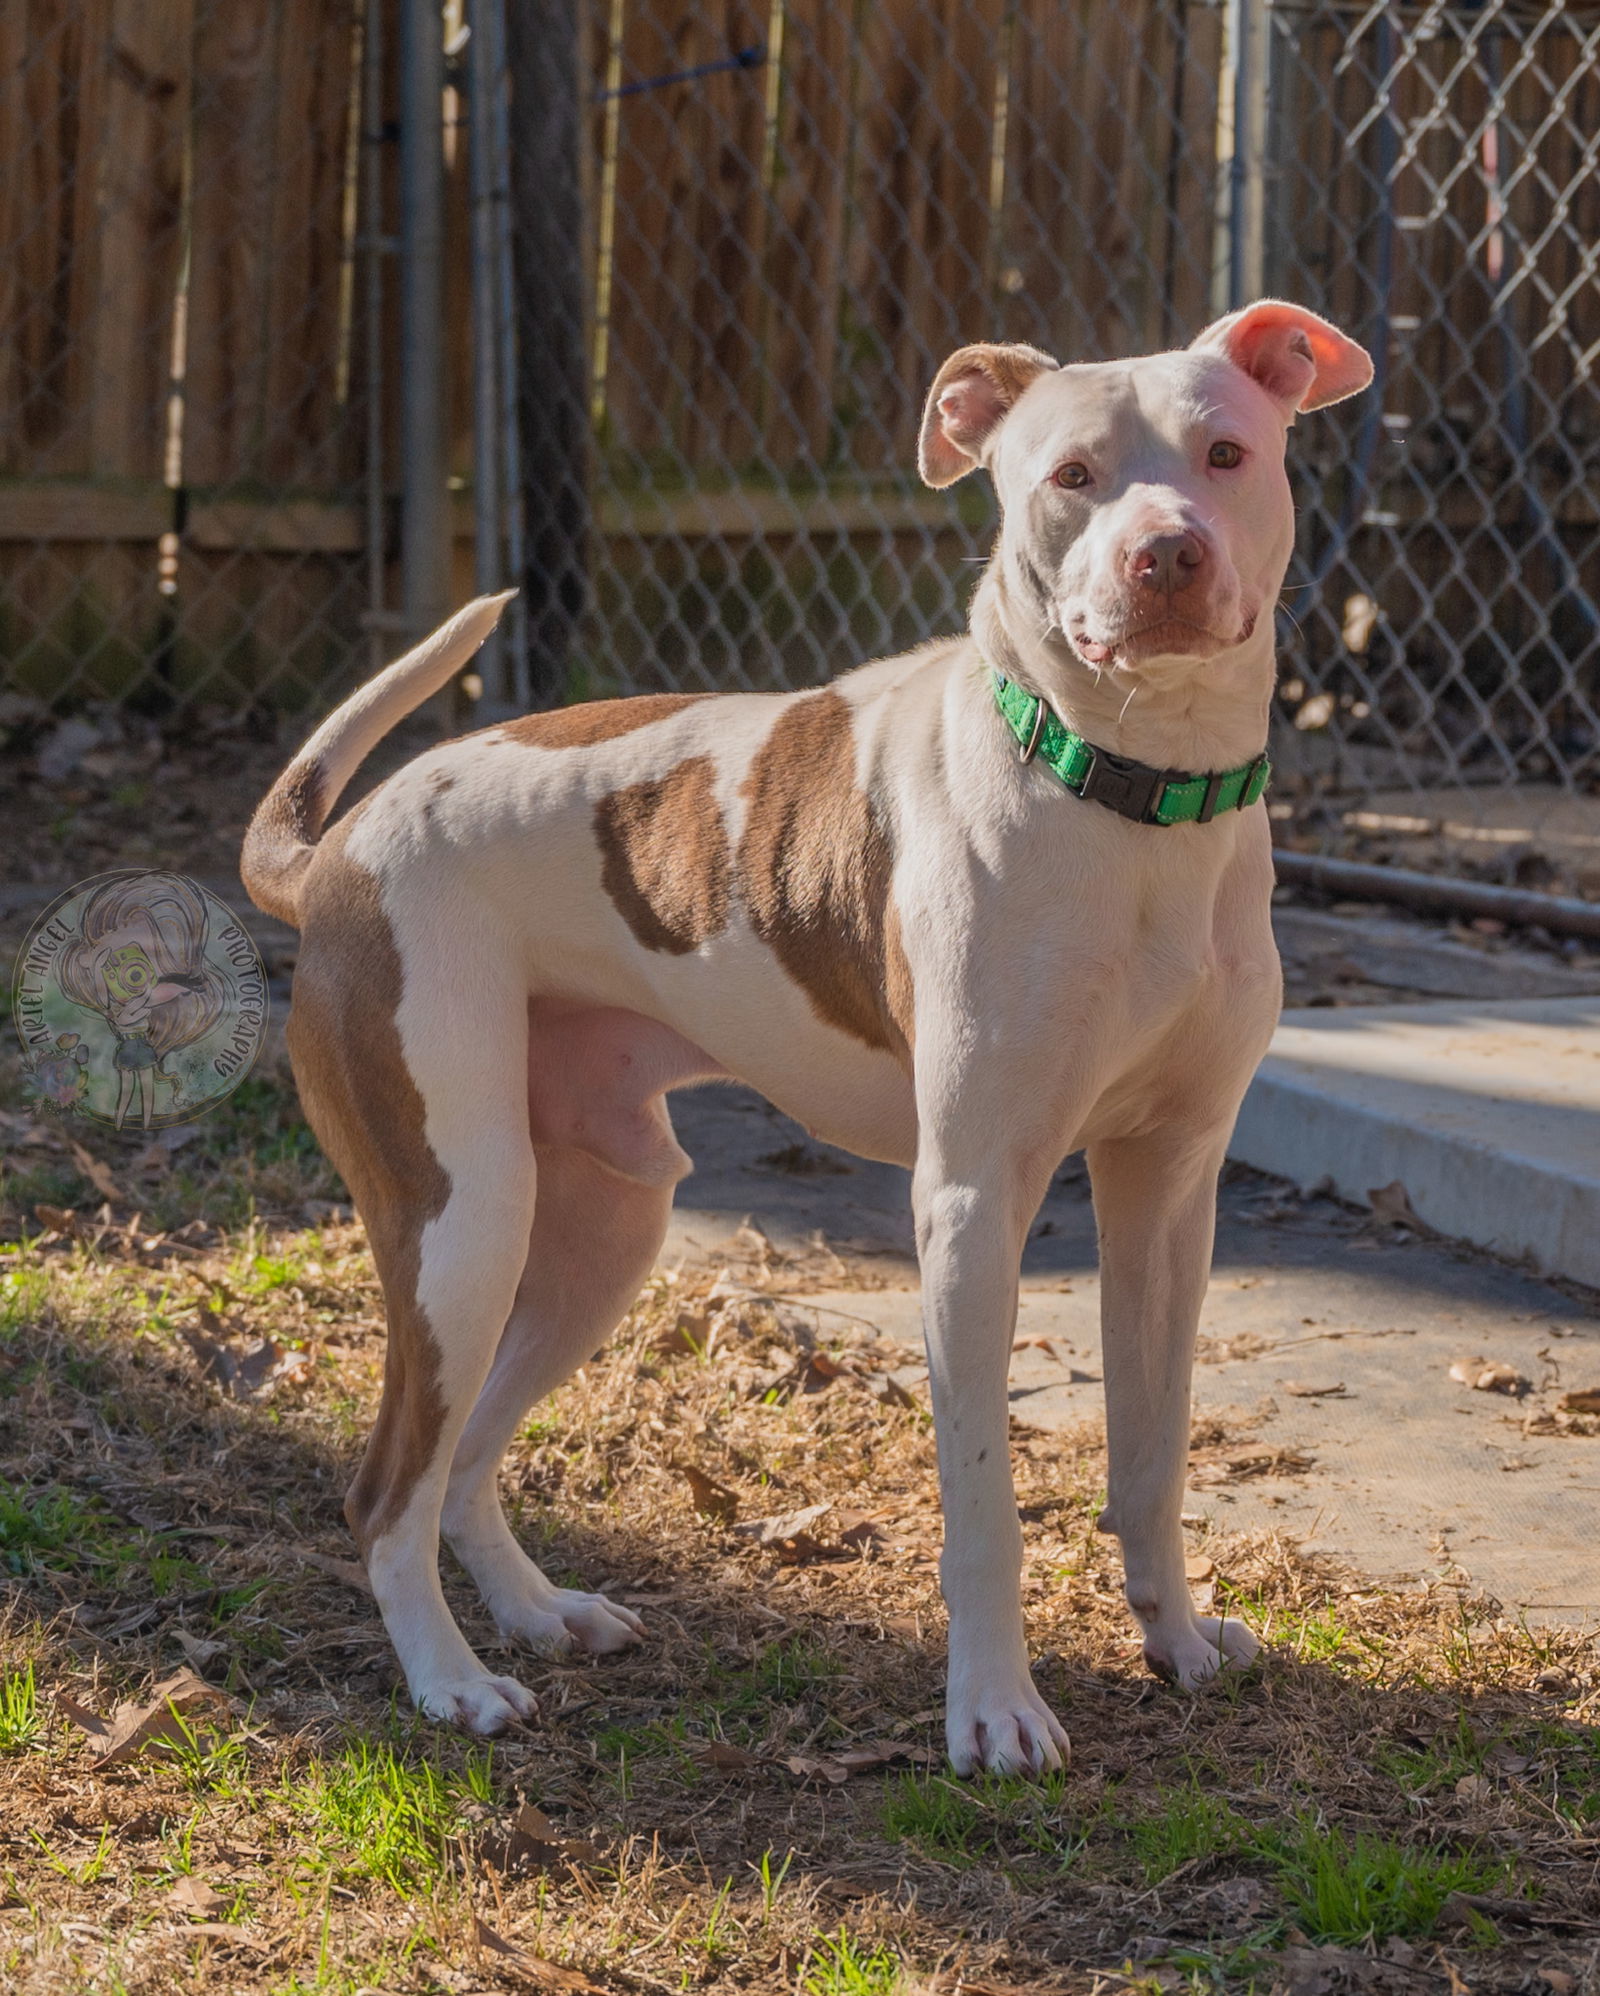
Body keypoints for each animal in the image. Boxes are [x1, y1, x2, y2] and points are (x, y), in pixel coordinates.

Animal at [243, 299, 1364, 1780]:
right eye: (1070, 476)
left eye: (1225, 453)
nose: (1166, 552)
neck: (1131, 799)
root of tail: (339, 852)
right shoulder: (971, 1202)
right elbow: (984, 1501)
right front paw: (993, 1710)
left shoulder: (1171, 1191)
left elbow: (1151, 1452)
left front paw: (1173, 1638)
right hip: (460, 1218)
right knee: (386, 1486)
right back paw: (451, 1682)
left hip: (602, 1222)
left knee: (466, 1455)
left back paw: (537, 1613)